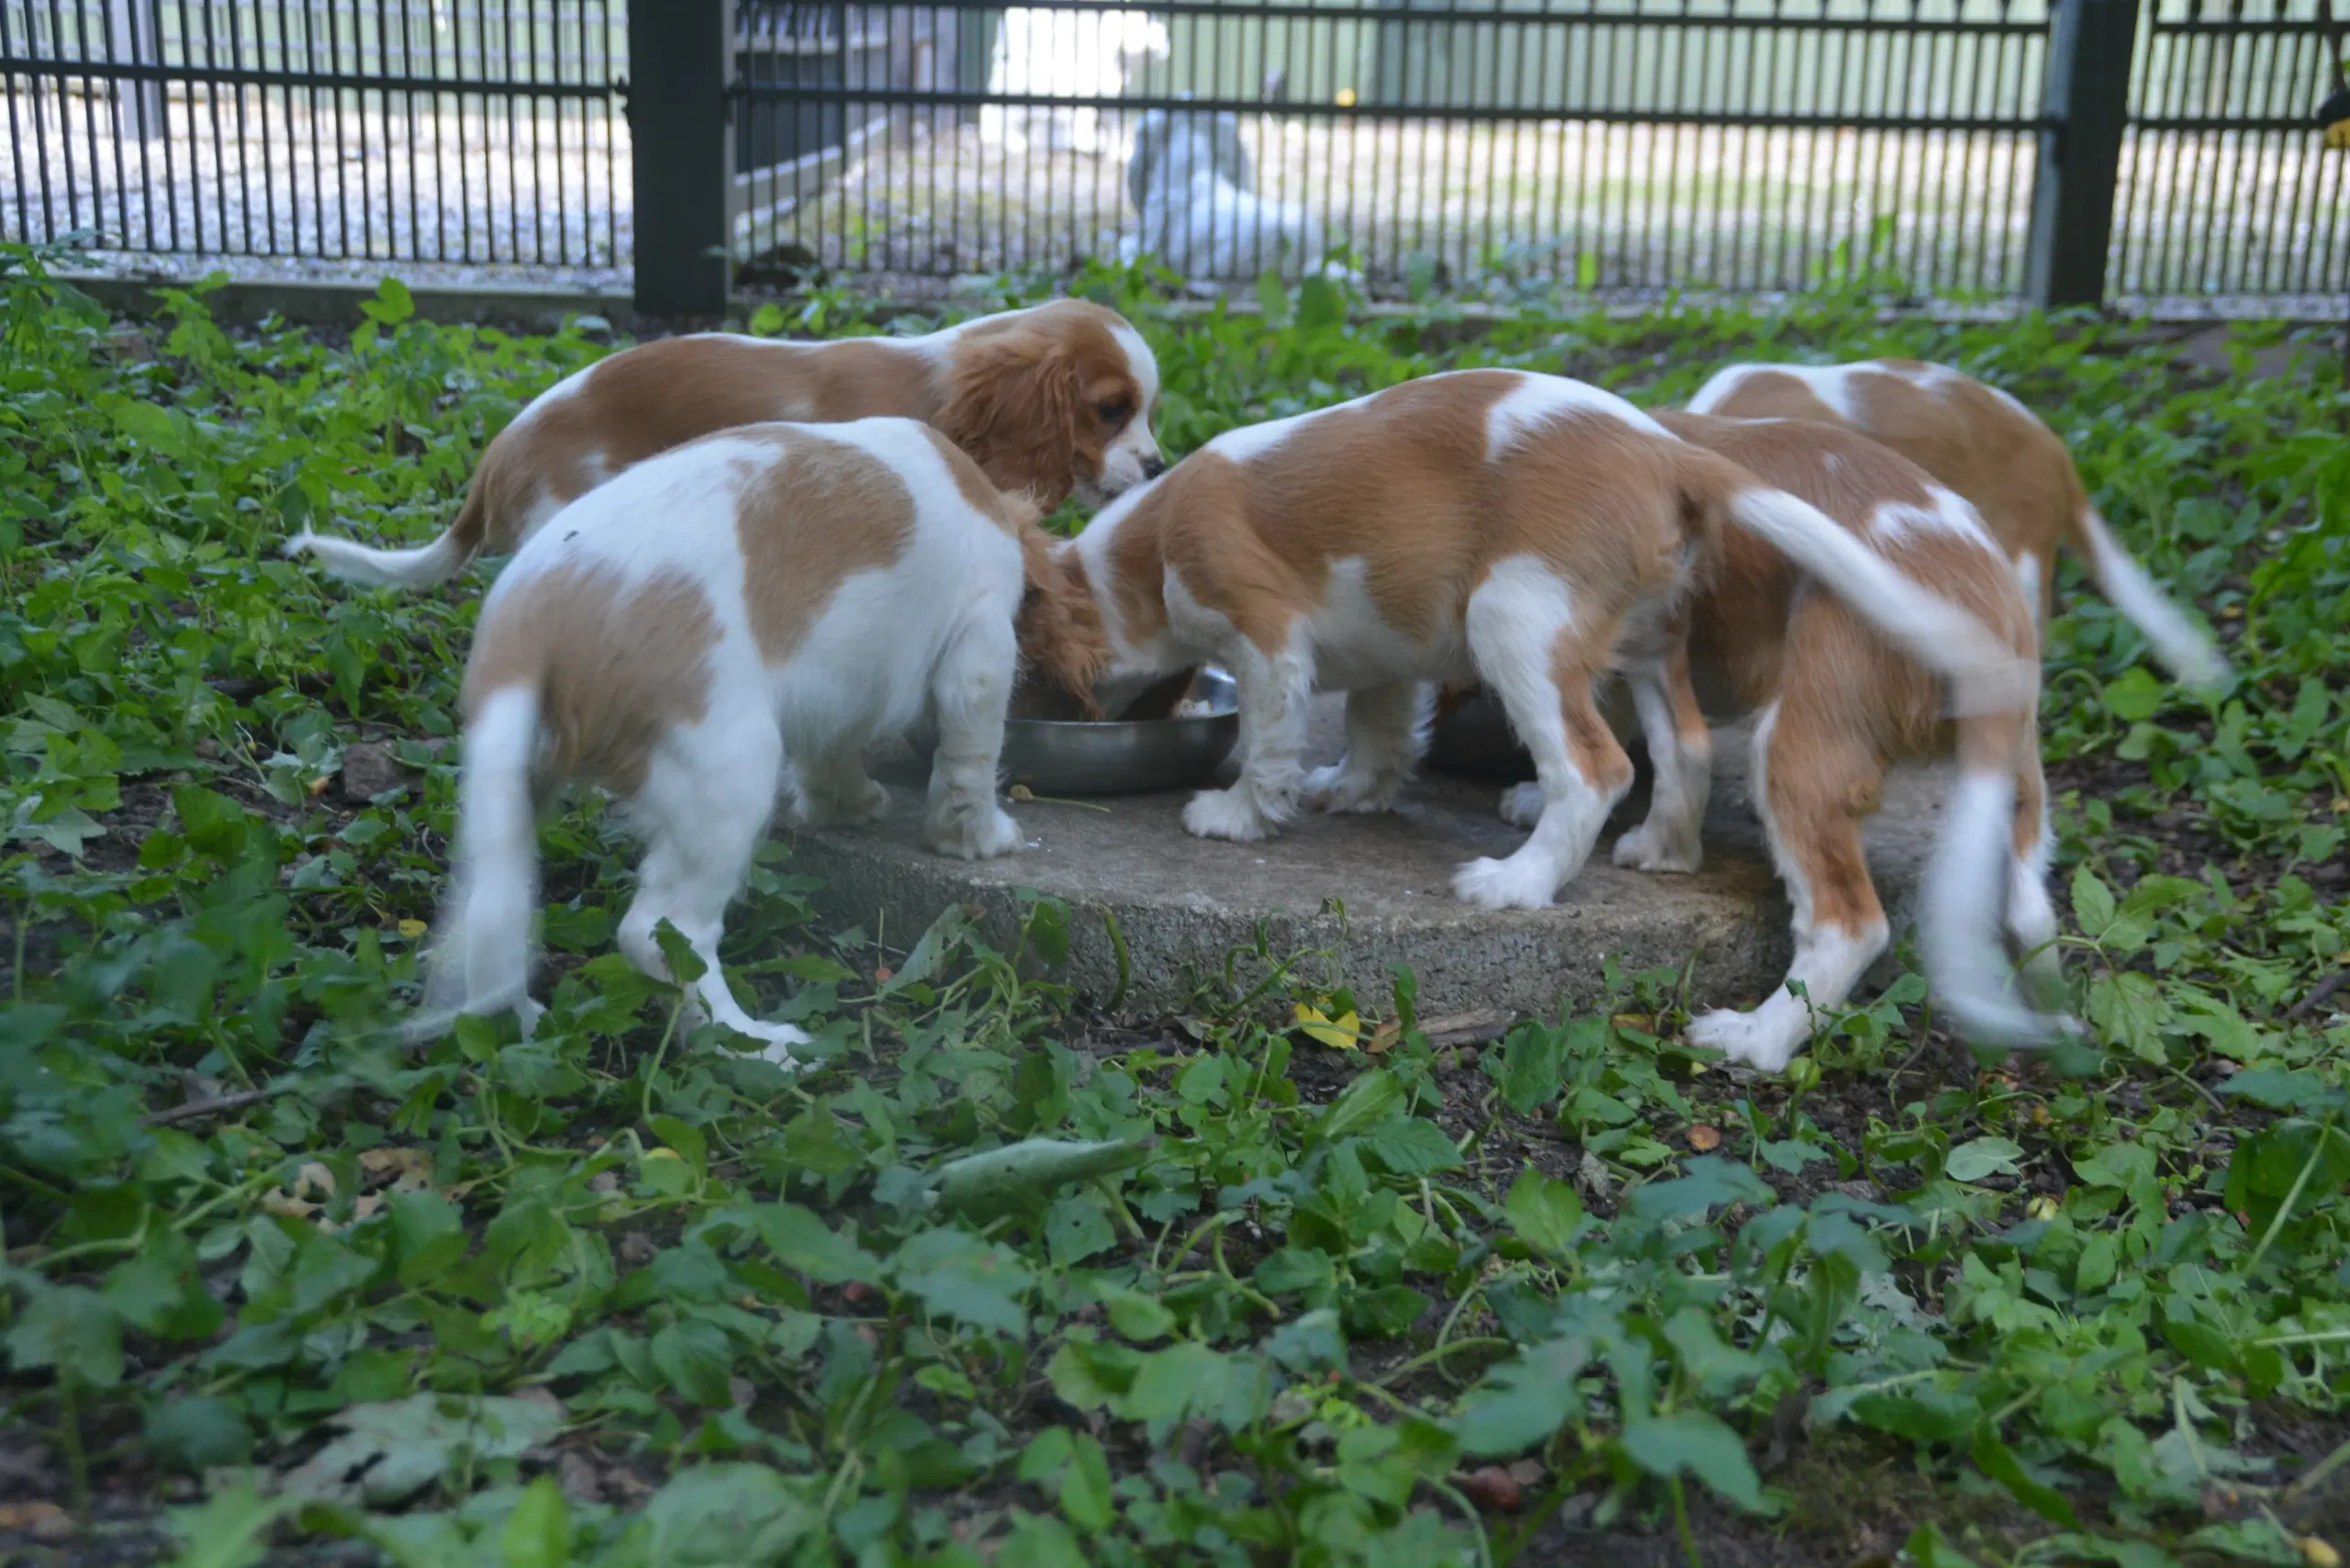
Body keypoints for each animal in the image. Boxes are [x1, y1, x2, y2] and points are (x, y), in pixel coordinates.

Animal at [413, 416, 1100, 1062]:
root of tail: (531, 623)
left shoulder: (839, 681)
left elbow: (832, 746)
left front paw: (848, 803)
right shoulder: (980, 644)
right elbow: (969, 757)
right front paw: (978, 838)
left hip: (512, 781)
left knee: (491, 916)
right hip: (726, 774)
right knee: (663, 933)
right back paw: (754, 1043)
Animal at [1038, 369, 2030, 921]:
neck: (1145, 543)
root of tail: (1667, 453)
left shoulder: (1265, 637)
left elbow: (1267, 741)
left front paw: (1238, 815)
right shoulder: (1385, 644)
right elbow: (1377, 725)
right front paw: (1353, 790)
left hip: (1513, 615)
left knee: (1596, 770)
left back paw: (1517, 883)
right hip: (1646, 636)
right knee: (1683, 748)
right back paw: (1662, 849)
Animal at [1617, 411, 2077, 1071]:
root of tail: (1984, 593)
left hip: (1800, 742)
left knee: (1850, 924)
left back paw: (1753, 1038)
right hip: (2017, 772)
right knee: (2031, 909)